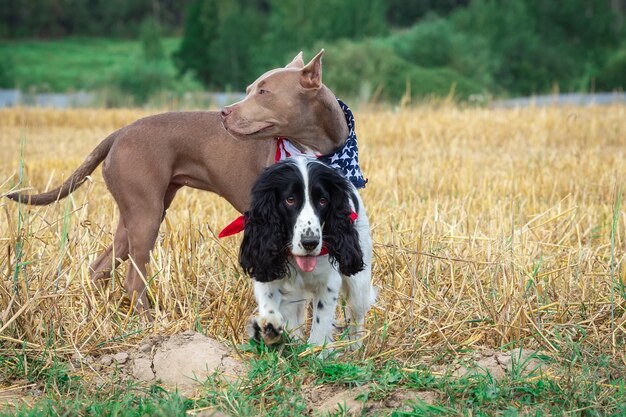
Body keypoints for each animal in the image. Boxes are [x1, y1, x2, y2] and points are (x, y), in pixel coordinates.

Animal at [7, 51, 348, 318]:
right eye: (250, 89)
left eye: (263, 92)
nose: (224, 112)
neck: (314, 149)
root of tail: (120, 133)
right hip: (146, 216)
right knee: (134, 279)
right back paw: (148, 323)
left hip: (136, 218)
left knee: (100, 268)